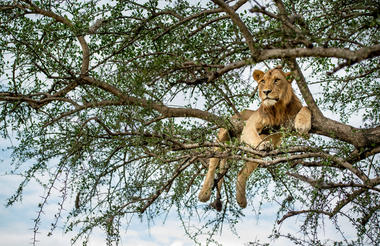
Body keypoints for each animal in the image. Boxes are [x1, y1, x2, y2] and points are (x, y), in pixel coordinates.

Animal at [197, 65, 310, 208]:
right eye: (262, 81)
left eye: (277, 80)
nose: (266, 92)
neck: (277, 108)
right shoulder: (250, 125)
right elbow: (254, 134)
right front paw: (263, 143)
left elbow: (306, 107)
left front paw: (303, 124)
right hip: (223, 136)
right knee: (213, 162)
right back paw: (204, 193)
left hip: (255, 155)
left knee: (241, 172)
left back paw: (241, 200)